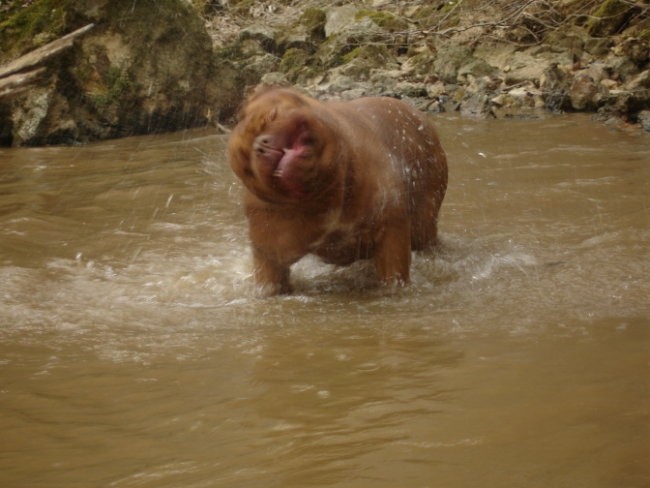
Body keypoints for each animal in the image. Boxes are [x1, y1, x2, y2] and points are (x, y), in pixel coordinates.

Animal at [227, 85, 446, 294]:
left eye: (271, 117)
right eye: (246, 159)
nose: (260, 145)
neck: (325, 192)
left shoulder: (391, 227)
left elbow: (394, 271)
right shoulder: (269, 243)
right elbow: (270, 278)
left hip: (424, 215)